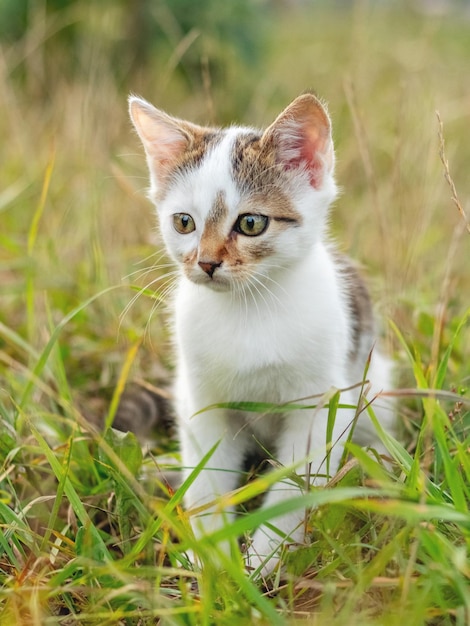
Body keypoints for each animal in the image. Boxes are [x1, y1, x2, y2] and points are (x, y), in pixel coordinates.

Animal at [126, 92, 394, 576]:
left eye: (251, 224)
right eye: (183, 223)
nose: (206, 263)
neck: (247, 312)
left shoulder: (320, 406)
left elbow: (294, 485)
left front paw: (265, 558)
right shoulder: (202, 402)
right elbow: (206, 479)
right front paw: (212, 559)